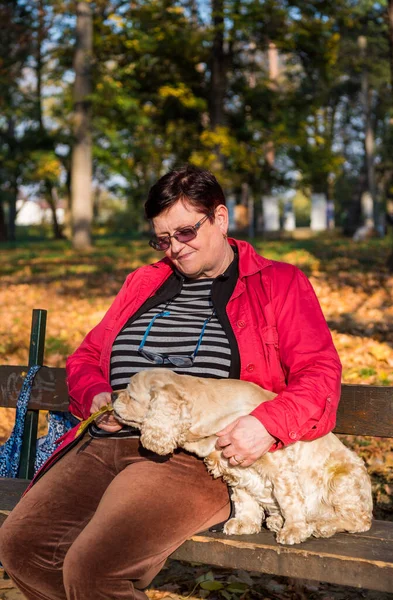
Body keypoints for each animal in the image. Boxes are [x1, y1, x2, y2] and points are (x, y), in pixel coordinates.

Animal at [112, 368, 372, 548]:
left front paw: (294, 530)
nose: (113, 394)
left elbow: (289, 500)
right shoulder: (236, 468)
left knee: (358, 520)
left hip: (340, 479)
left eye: (131, 395)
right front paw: (244, 523)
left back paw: (322, 525)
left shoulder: (277, 465)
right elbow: (244, 499)